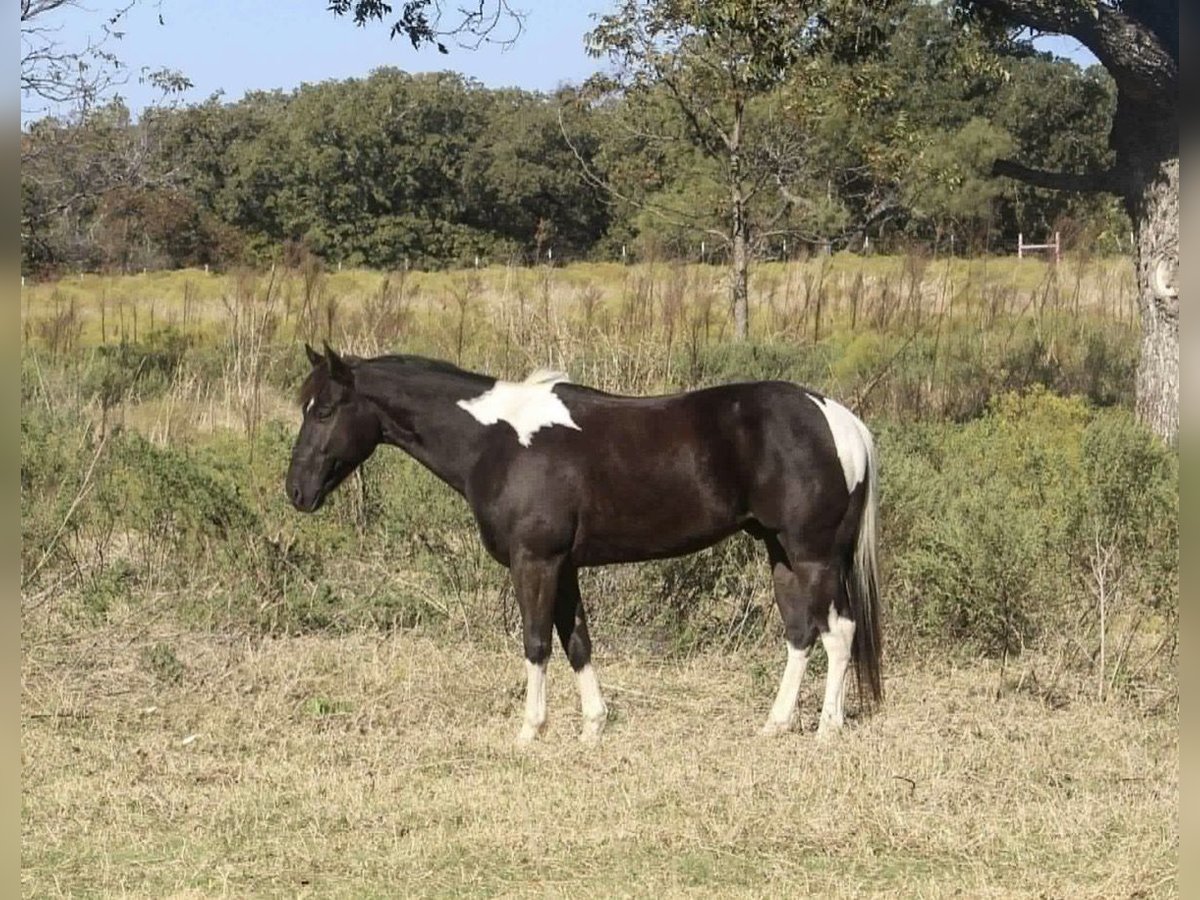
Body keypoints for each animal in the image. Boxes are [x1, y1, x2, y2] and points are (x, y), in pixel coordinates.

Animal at [286, 343, 882, 744]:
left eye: (325, 410)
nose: (296, 491)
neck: (495, 440)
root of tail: (837, 418)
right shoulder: (564, 566)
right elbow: (577, 641)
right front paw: (593, 726)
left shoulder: (535, 562)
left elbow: (536, 642)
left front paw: (530, 730)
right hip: (780, 552)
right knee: (801, 633)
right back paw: (776, 723)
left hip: (811, 554)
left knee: (837, 632)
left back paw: (827, 728)